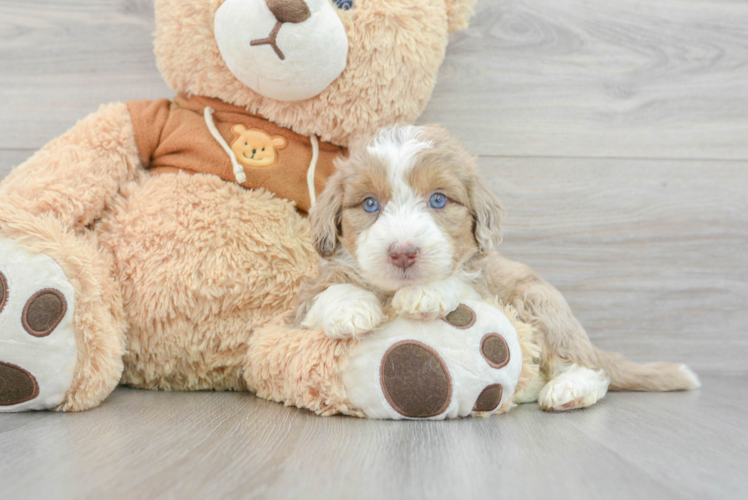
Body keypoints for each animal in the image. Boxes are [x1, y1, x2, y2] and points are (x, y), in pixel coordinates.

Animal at [294, 124, 700, 410]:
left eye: (438, 200)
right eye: (369, 204)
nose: (404, 253)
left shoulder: (486, 287)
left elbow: (459, 282)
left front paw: (426, 293)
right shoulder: (301, 304)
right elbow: (329, 291)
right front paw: (351, 309)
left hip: (538, 300)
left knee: (587, 366)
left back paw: (569, 388)